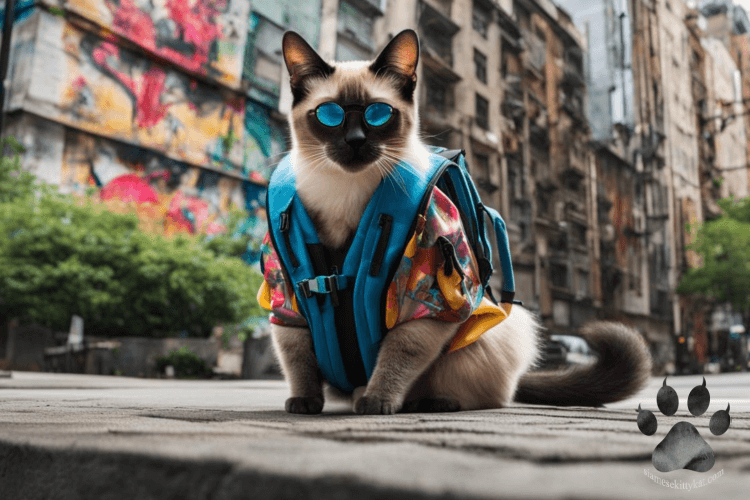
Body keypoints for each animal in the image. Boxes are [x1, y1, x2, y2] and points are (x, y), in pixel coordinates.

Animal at [270, 29, 652, 416]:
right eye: (329, 116)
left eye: (378, 115)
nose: (355, 142)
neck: (345, 190)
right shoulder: (286, 300)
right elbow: (297, 359)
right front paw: (304, 402)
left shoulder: (430, 302)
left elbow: (397, 355)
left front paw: (377, 401)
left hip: (492, 331)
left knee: (485, 393)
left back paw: (422, 401)